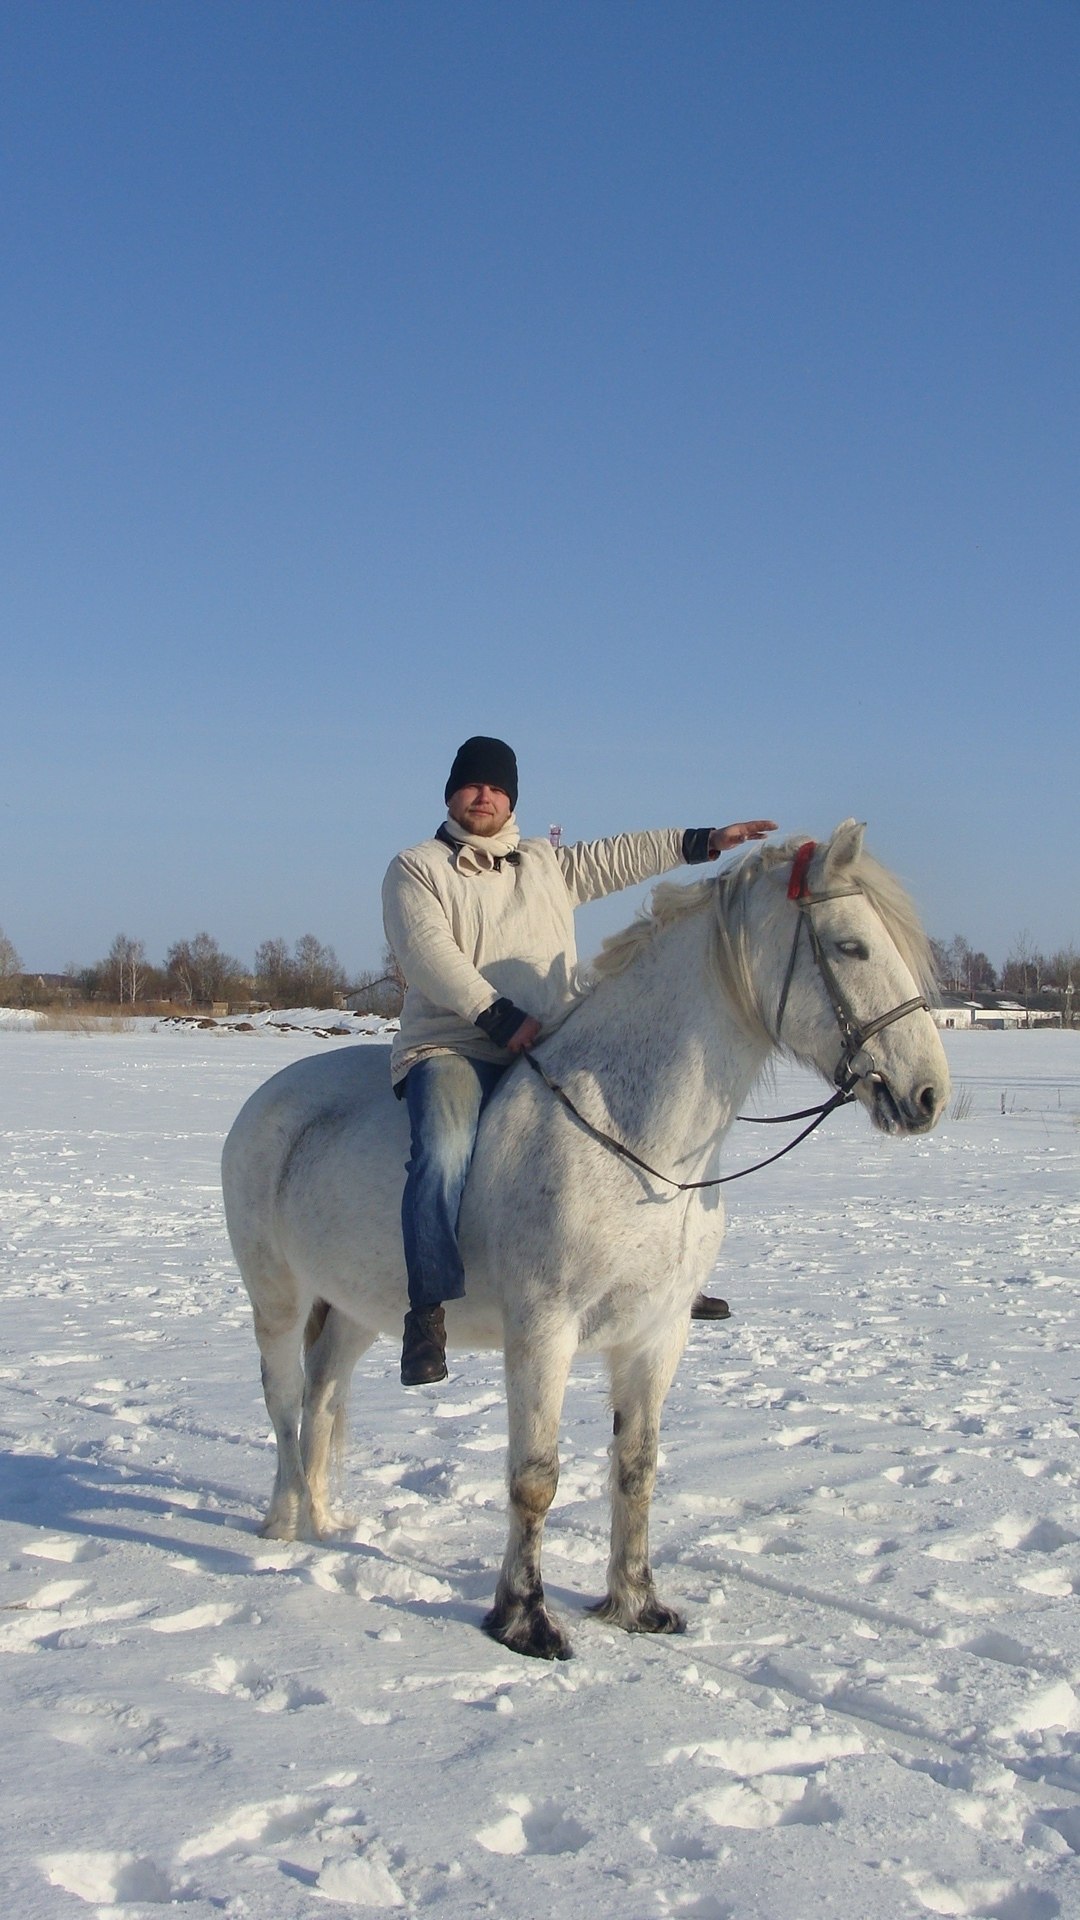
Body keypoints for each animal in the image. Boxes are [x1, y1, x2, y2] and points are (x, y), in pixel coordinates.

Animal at [221, 822, 949, 1660]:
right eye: (851, 945)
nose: (929, 1094)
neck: (635, 1139)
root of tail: (268, 1099)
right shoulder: (544, 1333)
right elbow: (534, 1477)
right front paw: (525, 1620)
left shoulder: (655, 1336)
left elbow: (636, 1469)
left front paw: (635, 1604)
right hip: (277, 1299)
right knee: (282, 1400)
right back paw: (281, 1528)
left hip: (356, 1310)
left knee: (323, 1396)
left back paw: (323, 1521)